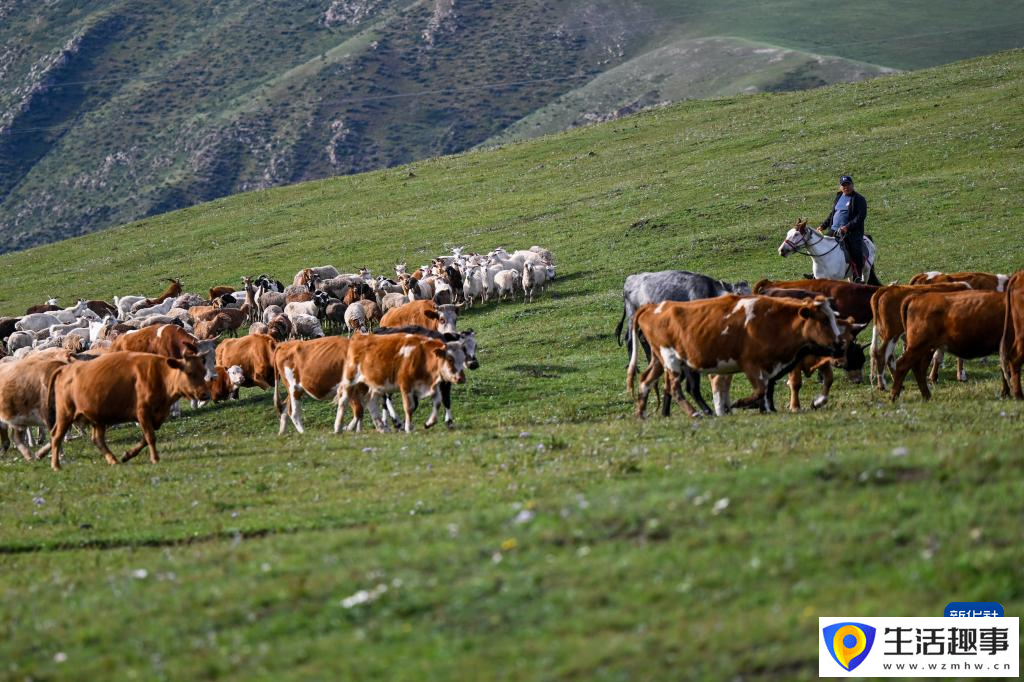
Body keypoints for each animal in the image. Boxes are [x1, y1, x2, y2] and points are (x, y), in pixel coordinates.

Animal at [47, 350, 212, 466]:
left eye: (204, 372)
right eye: (190, 373)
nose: (205, 394)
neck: (161, 375)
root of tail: (66, 369)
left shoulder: (158, 416)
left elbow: (146, 438)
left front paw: (128, 455)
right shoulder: (142, 412)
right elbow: (150, 437)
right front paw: (155, 458)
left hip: (97, 419)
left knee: (97, 439)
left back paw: (113, 460)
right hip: (65, 414)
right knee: (56, 436)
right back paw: (56, 466)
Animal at [614, 270, 753, 413]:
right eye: (738, 293)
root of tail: (631, 278)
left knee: (642, 339)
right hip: (632, 316)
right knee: (630, 340)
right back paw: (636, 368)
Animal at [626, 292, 843, 413]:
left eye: (833, 318)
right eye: (824, 320)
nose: (840, 344)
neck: (775, 320)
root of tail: (652, 307)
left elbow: (765, 389)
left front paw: (765, 408)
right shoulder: (751, 364)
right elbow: (761, 390)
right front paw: (740, 404)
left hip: (658, 359)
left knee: (645, 381)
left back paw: (641, 415)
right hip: (671, 359)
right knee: (675, 388)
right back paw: (695, 413)